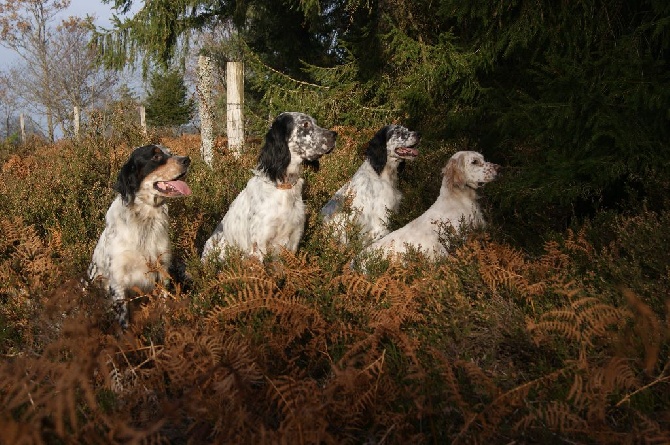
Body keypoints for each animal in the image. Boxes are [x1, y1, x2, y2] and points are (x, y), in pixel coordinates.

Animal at [89, 144, 192, 328]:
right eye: (156, 157)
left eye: (170, 152)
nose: (187, 159)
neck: (145, 218)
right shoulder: (118, 281)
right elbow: (124, 319)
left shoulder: (162, 268)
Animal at [200, 111, 336, 262]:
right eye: (305, 124)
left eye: (315, 122)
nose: (334, 134)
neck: (283, 186)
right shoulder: (259, 246)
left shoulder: (294, 240)